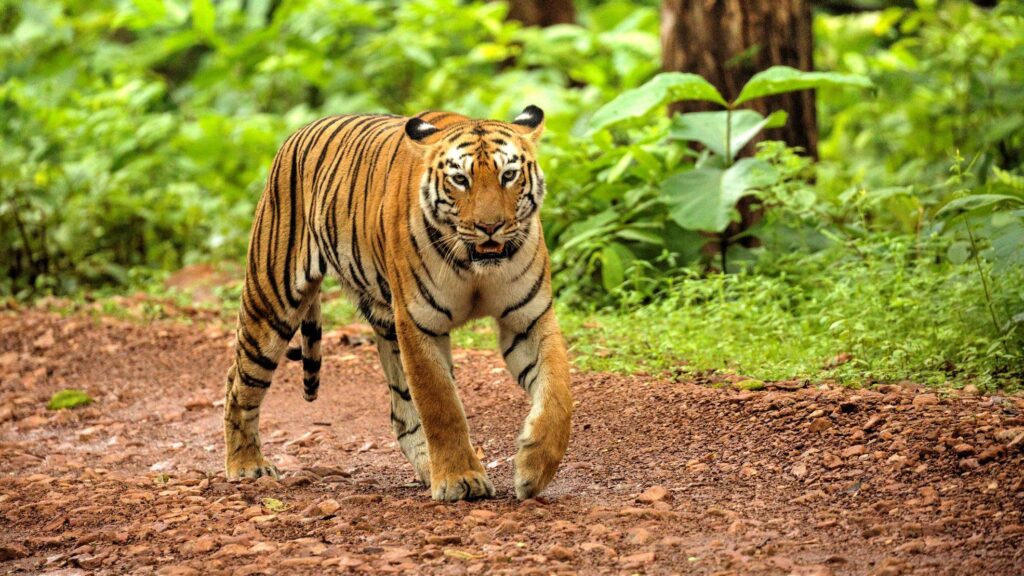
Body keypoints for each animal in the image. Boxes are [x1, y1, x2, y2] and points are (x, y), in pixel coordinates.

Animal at [223, 106, 573, 501]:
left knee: (401, 411)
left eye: (508, 175)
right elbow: (441, 404)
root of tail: (299, 132)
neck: (475, 266)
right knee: (239, 383)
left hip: (383, 322)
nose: (490, 227)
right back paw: (247, 465)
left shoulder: (528, 319)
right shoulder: (418, 323)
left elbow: (557, 393)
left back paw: (427, 467)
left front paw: (534, 468)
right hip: (271, 303)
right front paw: (460, 479)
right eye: (460, 180)